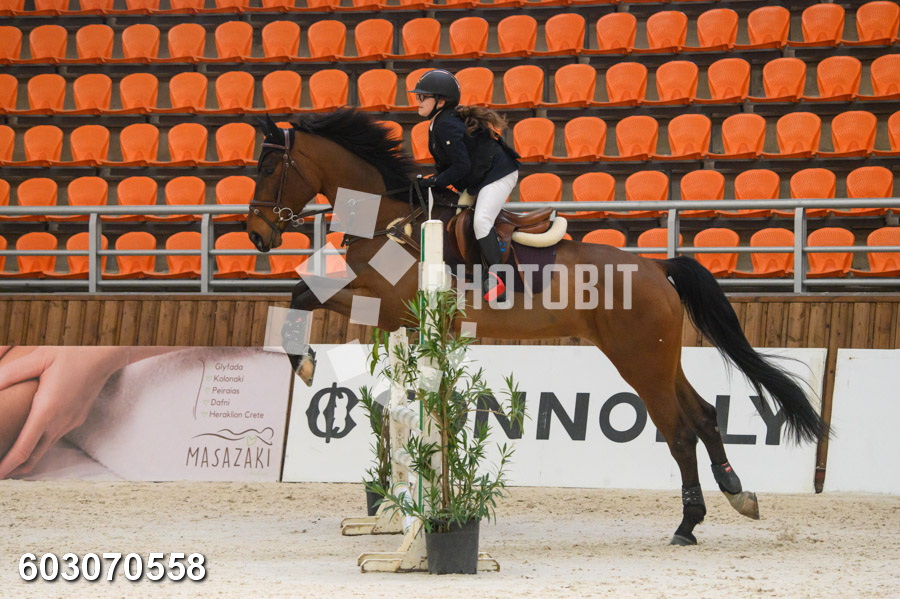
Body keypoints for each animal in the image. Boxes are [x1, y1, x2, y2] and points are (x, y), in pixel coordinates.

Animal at [246, 109, 826, 546]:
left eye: (270, 168)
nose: (255, 234)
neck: (387, 221)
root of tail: (656, 267)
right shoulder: (388, 313)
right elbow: (302, 295)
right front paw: (305, 361)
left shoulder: (384, 304)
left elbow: (302, 296)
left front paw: (305, 363)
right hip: (659, 357)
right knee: (704, 416)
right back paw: (737, 495)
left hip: (638, 359)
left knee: (680, 432)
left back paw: (687, 525)